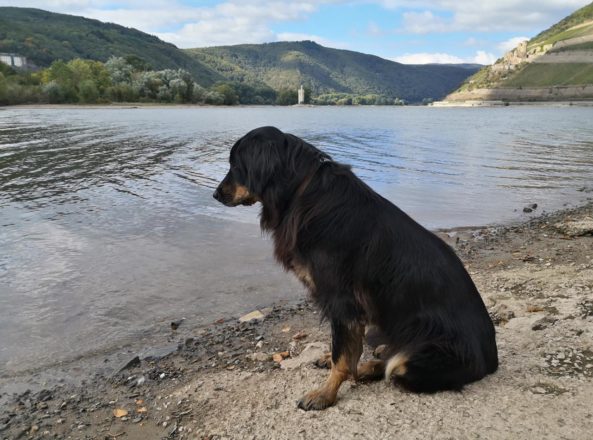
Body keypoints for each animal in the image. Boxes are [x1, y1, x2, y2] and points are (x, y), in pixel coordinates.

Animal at [213, 125, 494, 410]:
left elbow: (343, 355)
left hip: (421, 354)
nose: (215, 194)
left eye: (236, 165)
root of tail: (491, 361)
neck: (300, 191)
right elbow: (347, 349)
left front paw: (325, 394)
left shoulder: (341, 300)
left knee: (394, 365)